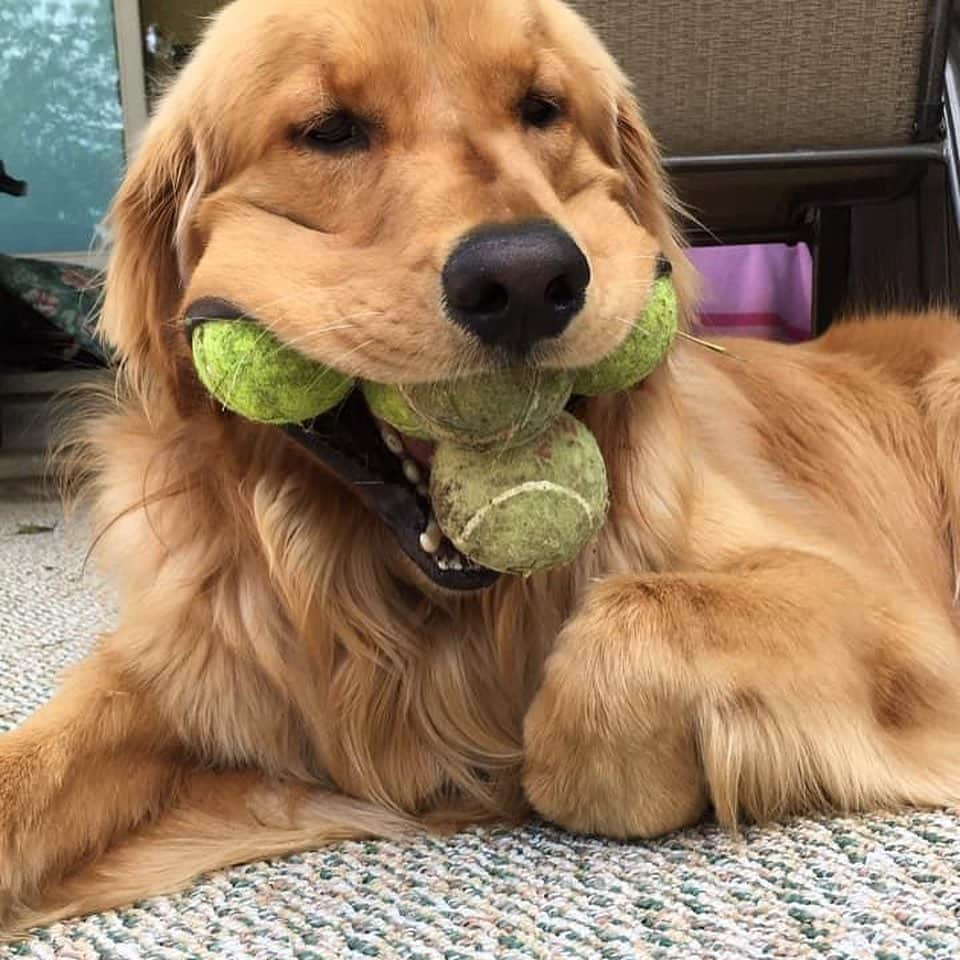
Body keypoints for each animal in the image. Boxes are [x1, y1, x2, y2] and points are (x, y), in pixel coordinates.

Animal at [1, 0, 960, 936]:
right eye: (329, 130)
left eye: (543, 109)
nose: (527, 279)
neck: (424, 616)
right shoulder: (202, 661)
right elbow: (32, 770)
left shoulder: (890, 625)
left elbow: (619, 638)